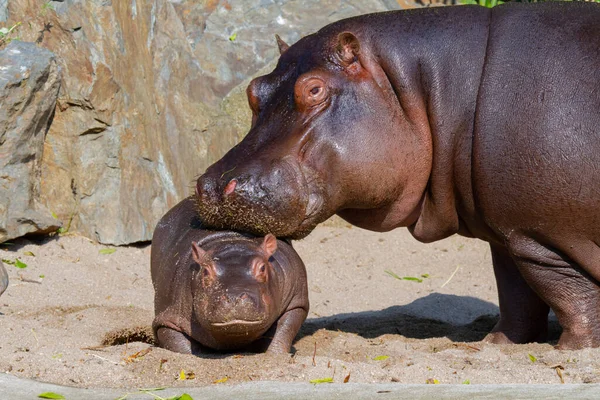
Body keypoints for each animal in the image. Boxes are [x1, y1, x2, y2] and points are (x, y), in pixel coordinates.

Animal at [150, 197, 310, 354]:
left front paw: (276, 355)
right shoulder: (167, 318)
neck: (231, 241)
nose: (234, 298)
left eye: (262, 267)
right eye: (206, 271)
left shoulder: (296, 301)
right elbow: (179, 344)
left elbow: (283, 331)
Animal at [196, 1, 600, 348]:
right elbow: (517, 298)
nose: (213, 185)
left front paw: (573, 350)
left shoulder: (541, 238)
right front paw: (496, 345)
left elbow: (571, 298)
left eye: (313, 89)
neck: (440, 88)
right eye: (253, 89)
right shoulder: (508, 234)